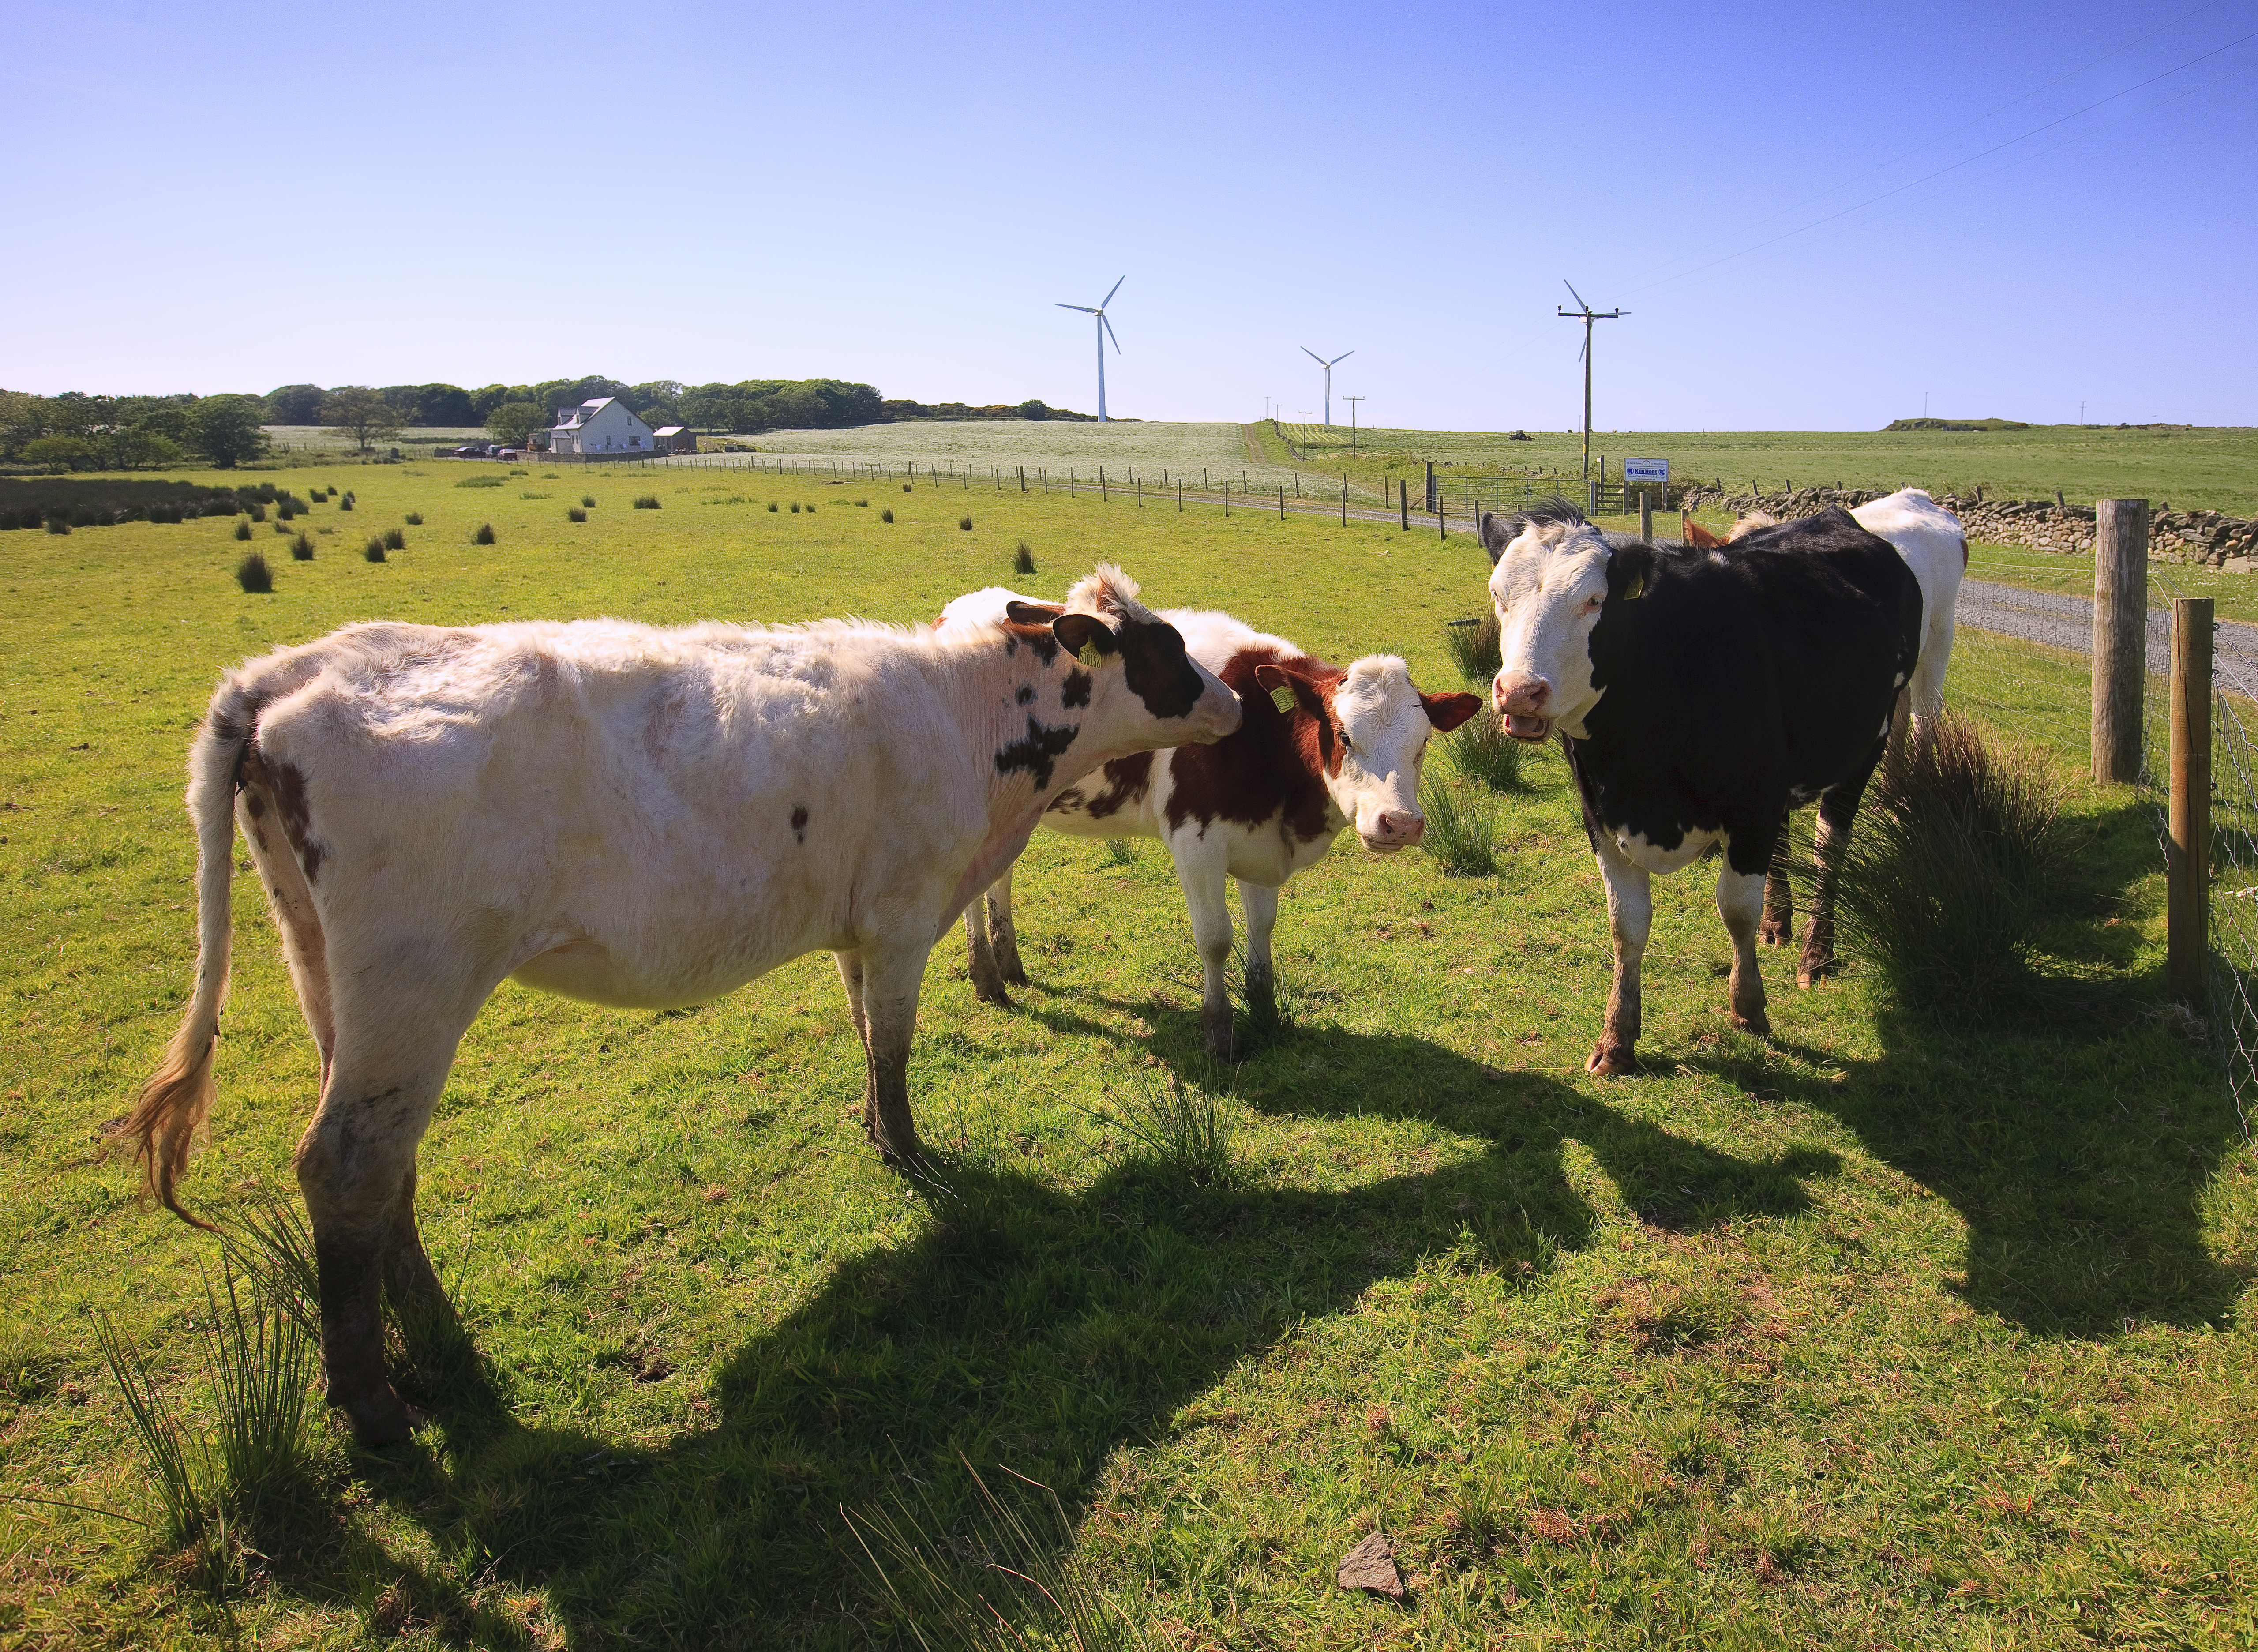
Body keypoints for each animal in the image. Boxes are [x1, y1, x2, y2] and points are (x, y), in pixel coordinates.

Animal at [128, 568, 1237, 1444]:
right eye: (1165, 644)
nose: (1230, 699)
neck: (970, 717)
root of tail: (292, 668)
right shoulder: (903, 911)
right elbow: (894, 1044)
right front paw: (915, 1152)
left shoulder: (857, 924)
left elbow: (863, 1032)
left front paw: (875, 1135)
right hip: (412, 990)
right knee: (348, 1163)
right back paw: (373, 1404)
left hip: (329, 979)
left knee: (381, 1169)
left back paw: (438, 1344)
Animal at [934, 596, 1481, 1056]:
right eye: (1344, 736)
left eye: (1424, 742)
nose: (1400, 823)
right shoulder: (1195, 841)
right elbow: (1215, 938)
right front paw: (1219, 1031)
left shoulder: (1259, 840)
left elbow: (1262, 926)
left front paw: (1264, 1007)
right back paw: (986, 975)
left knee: (999, 877)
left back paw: (1009, 963)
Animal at [1481, 496, 1924, 1078]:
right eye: (1499, 595)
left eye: (1594, 601)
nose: (1519, 692)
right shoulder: (1600, 813)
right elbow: (1626, 924)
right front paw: (1617, 1038)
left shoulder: (1752, 806)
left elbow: (1735, 909)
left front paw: (1750, 1008)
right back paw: (1778, 924)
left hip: (1865, 748)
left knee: (1830, 849)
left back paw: (1815, 954)